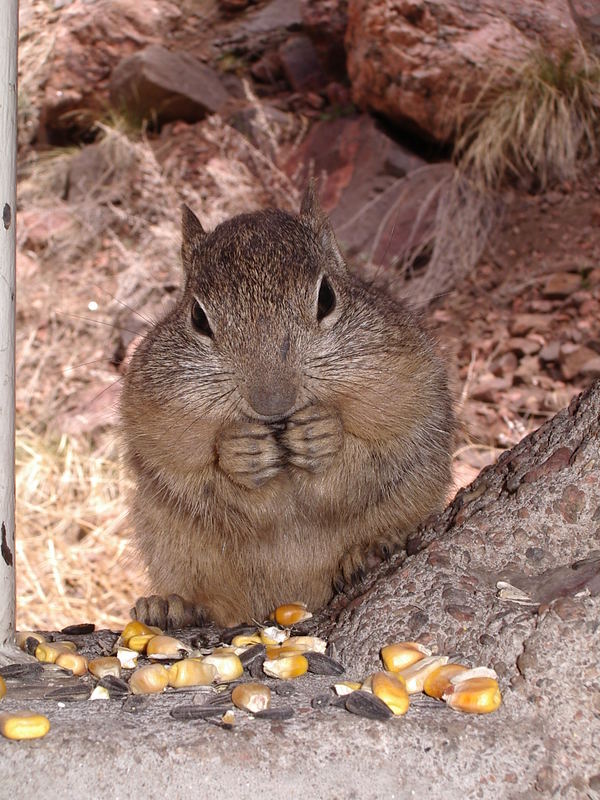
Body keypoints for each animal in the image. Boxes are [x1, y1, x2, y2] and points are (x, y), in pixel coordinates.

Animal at [119, 184, 452, 628]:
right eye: (197, 317)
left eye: (326, 297)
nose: (272, 403)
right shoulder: (155, 423)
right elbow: (196, 475)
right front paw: (240, 452)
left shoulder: (409, 390)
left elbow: (368, 454)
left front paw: (322, 433)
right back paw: (172, 607)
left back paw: (368, 552)